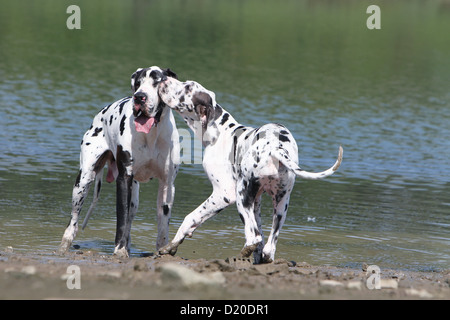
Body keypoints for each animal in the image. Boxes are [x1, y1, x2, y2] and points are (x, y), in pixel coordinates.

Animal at [58, 66, 179, 256]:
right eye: (138, 83)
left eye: (157, 82)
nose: (139, 96)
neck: (151, 135)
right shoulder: (123, 179)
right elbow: (121, 218)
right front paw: (119, 250)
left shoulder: (167, 184)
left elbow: (162, 226)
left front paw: (162, 250)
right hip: (83, 183)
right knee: (73, 222)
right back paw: (65, 244)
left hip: (134, 198)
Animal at [156, 77, 342, 262]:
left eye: (187, 87)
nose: (163, 78)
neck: (221, 132)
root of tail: (276, 148)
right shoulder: (256, 201)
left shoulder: (223, 194)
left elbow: (191, 217)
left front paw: (171, 246)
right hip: (280, 205)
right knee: (268, 246)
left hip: (241, 199)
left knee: (254, 237)